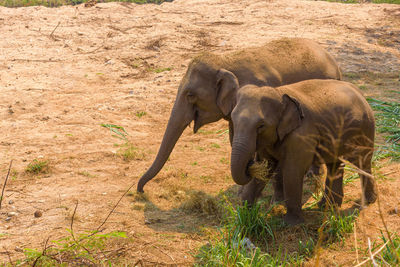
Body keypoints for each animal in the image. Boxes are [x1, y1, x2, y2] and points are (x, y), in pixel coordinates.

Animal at [137, 37, 340, 194]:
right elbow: (234, 137)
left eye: (190, 95)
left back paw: (312, 175)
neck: (226, 61)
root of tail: (334, 62)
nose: (140, 190)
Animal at [230, 79, 376, 226]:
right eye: (233, 120)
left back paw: (368, 201)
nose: (250, 163)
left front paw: (291, 224)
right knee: (334, 165)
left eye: (261, 125)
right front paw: (244, 215)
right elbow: (266, 168)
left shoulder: (302, 135)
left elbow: (292, 171)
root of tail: (361, 94)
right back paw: (327, 206)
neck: (278, 92)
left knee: (362, 161)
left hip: (365, 128)